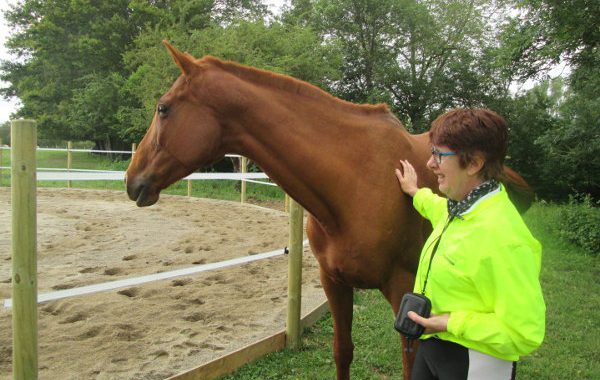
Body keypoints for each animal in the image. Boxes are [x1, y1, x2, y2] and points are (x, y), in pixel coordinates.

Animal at [124, 41, 532, 380]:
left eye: (163, 108)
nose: (131, 180)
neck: (354, 182)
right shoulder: (333, 281)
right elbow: (343, 351)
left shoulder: (405, 291)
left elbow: (410, 363)